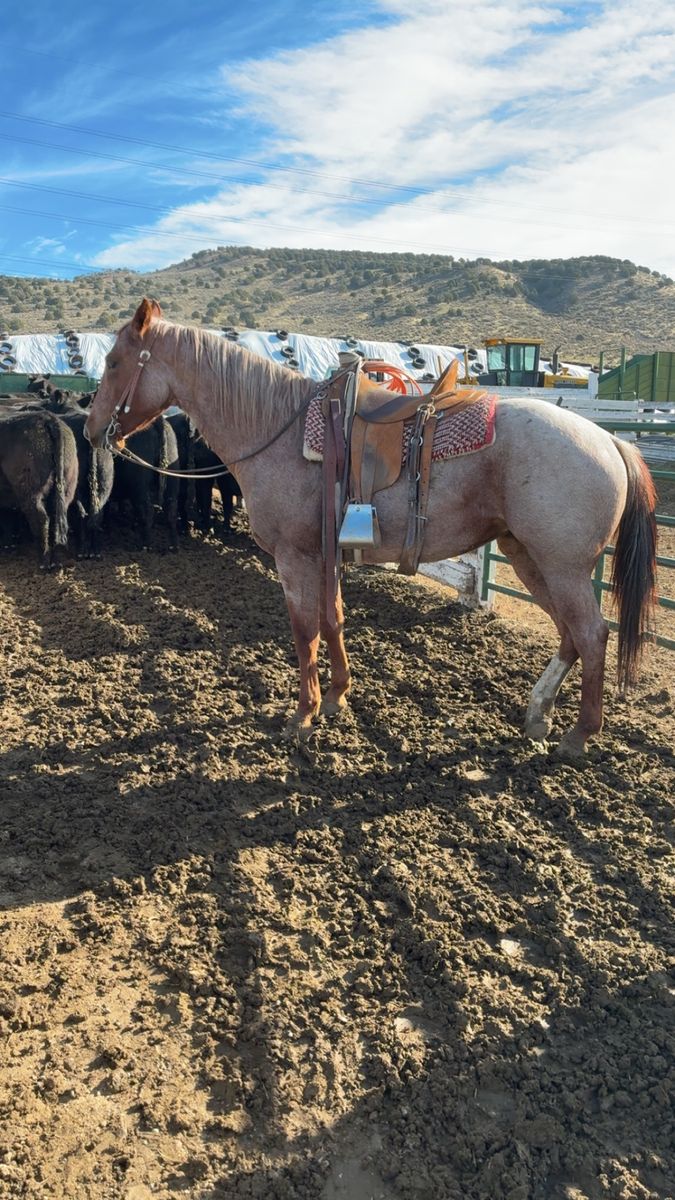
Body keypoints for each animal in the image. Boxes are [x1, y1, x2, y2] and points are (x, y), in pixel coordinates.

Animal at [85, 299, 657, 756]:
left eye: (114, 362)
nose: (91, 430)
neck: (277, 431)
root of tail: (610, 440)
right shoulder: (325, 555)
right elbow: (334, 619)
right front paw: (338, 696)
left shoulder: (295, 557)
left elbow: (306, 631)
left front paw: (304, 715)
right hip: (529, 557)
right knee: (570, 635)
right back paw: (539, 714)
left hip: (562, 566)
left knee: (591, 635)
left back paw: (579, 735)